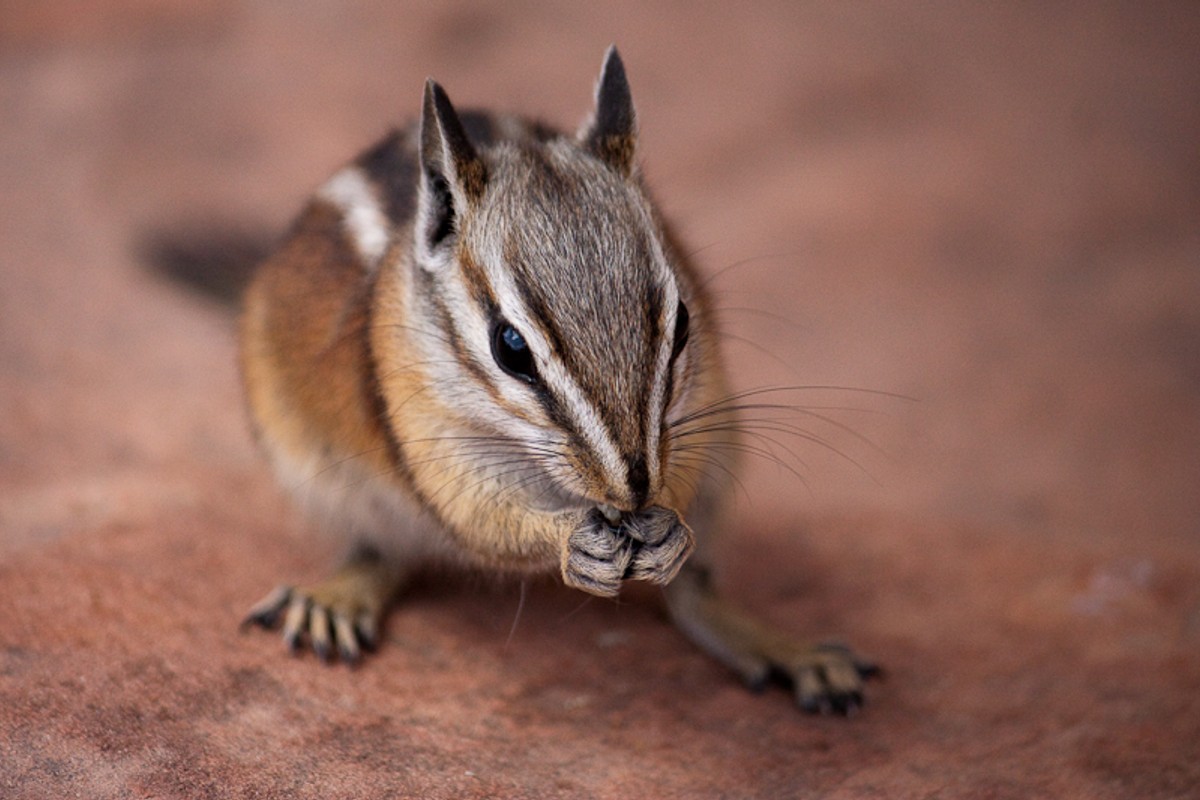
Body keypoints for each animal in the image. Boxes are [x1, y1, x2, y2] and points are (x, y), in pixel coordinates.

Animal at [236, 46, 878, 714]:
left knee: (694, 599)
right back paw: (333, 600)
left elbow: (683, 488)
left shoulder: (700, 409)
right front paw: (572, 541)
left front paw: (670, 528)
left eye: (681, 322)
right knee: (379, 553)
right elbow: (477, 515)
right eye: (510, 347)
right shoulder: (426, 429)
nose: (635, 490)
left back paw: (784, 649)